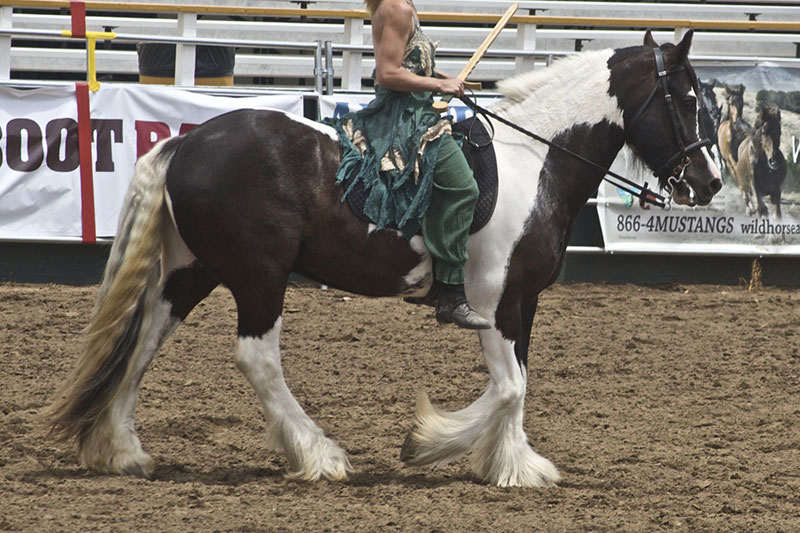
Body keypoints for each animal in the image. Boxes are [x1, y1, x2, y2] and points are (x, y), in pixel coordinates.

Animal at [43, 30, 721, 488]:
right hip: (259, 277)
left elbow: (518, 385)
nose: (711, 182)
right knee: (257, 358)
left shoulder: (523, 302)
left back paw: (122, 450)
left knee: (145, 340)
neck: (536, 163)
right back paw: (319, 455)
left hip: (192, 271)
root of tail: (186, 143)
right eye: (687, 98)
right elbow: (508, 387)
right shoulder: (490, 301)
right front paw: (428, 443)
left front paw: (511, 463)